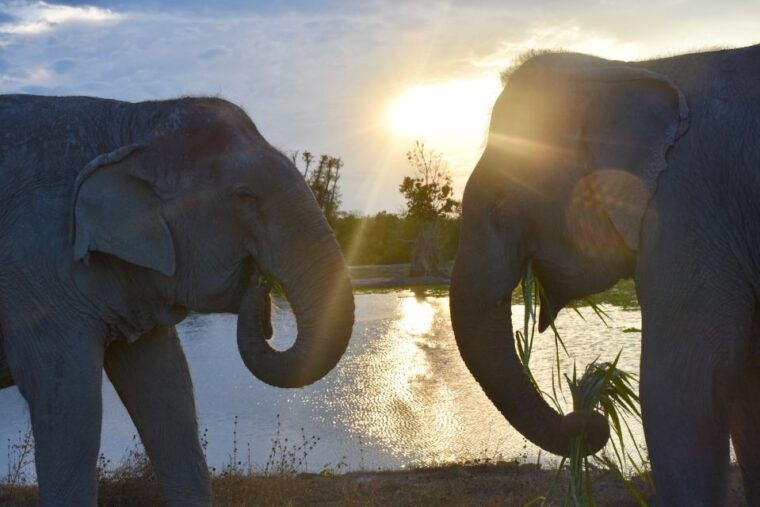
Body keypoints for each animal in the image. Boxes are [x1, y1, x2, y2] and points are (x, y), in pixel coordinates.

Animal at [0, 94, 355, 506]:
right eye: (245, 196)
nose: (260, 285)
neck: (132, 123)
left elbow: (170, 394)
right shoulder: (35, 279)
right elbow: (74, 410)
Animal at [450, 44, 760, 506]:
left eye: (502, 204)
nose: (587, 413)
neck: (628, 70)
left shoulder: (690, 217)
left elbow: (681, 390)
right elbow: (745, 389)